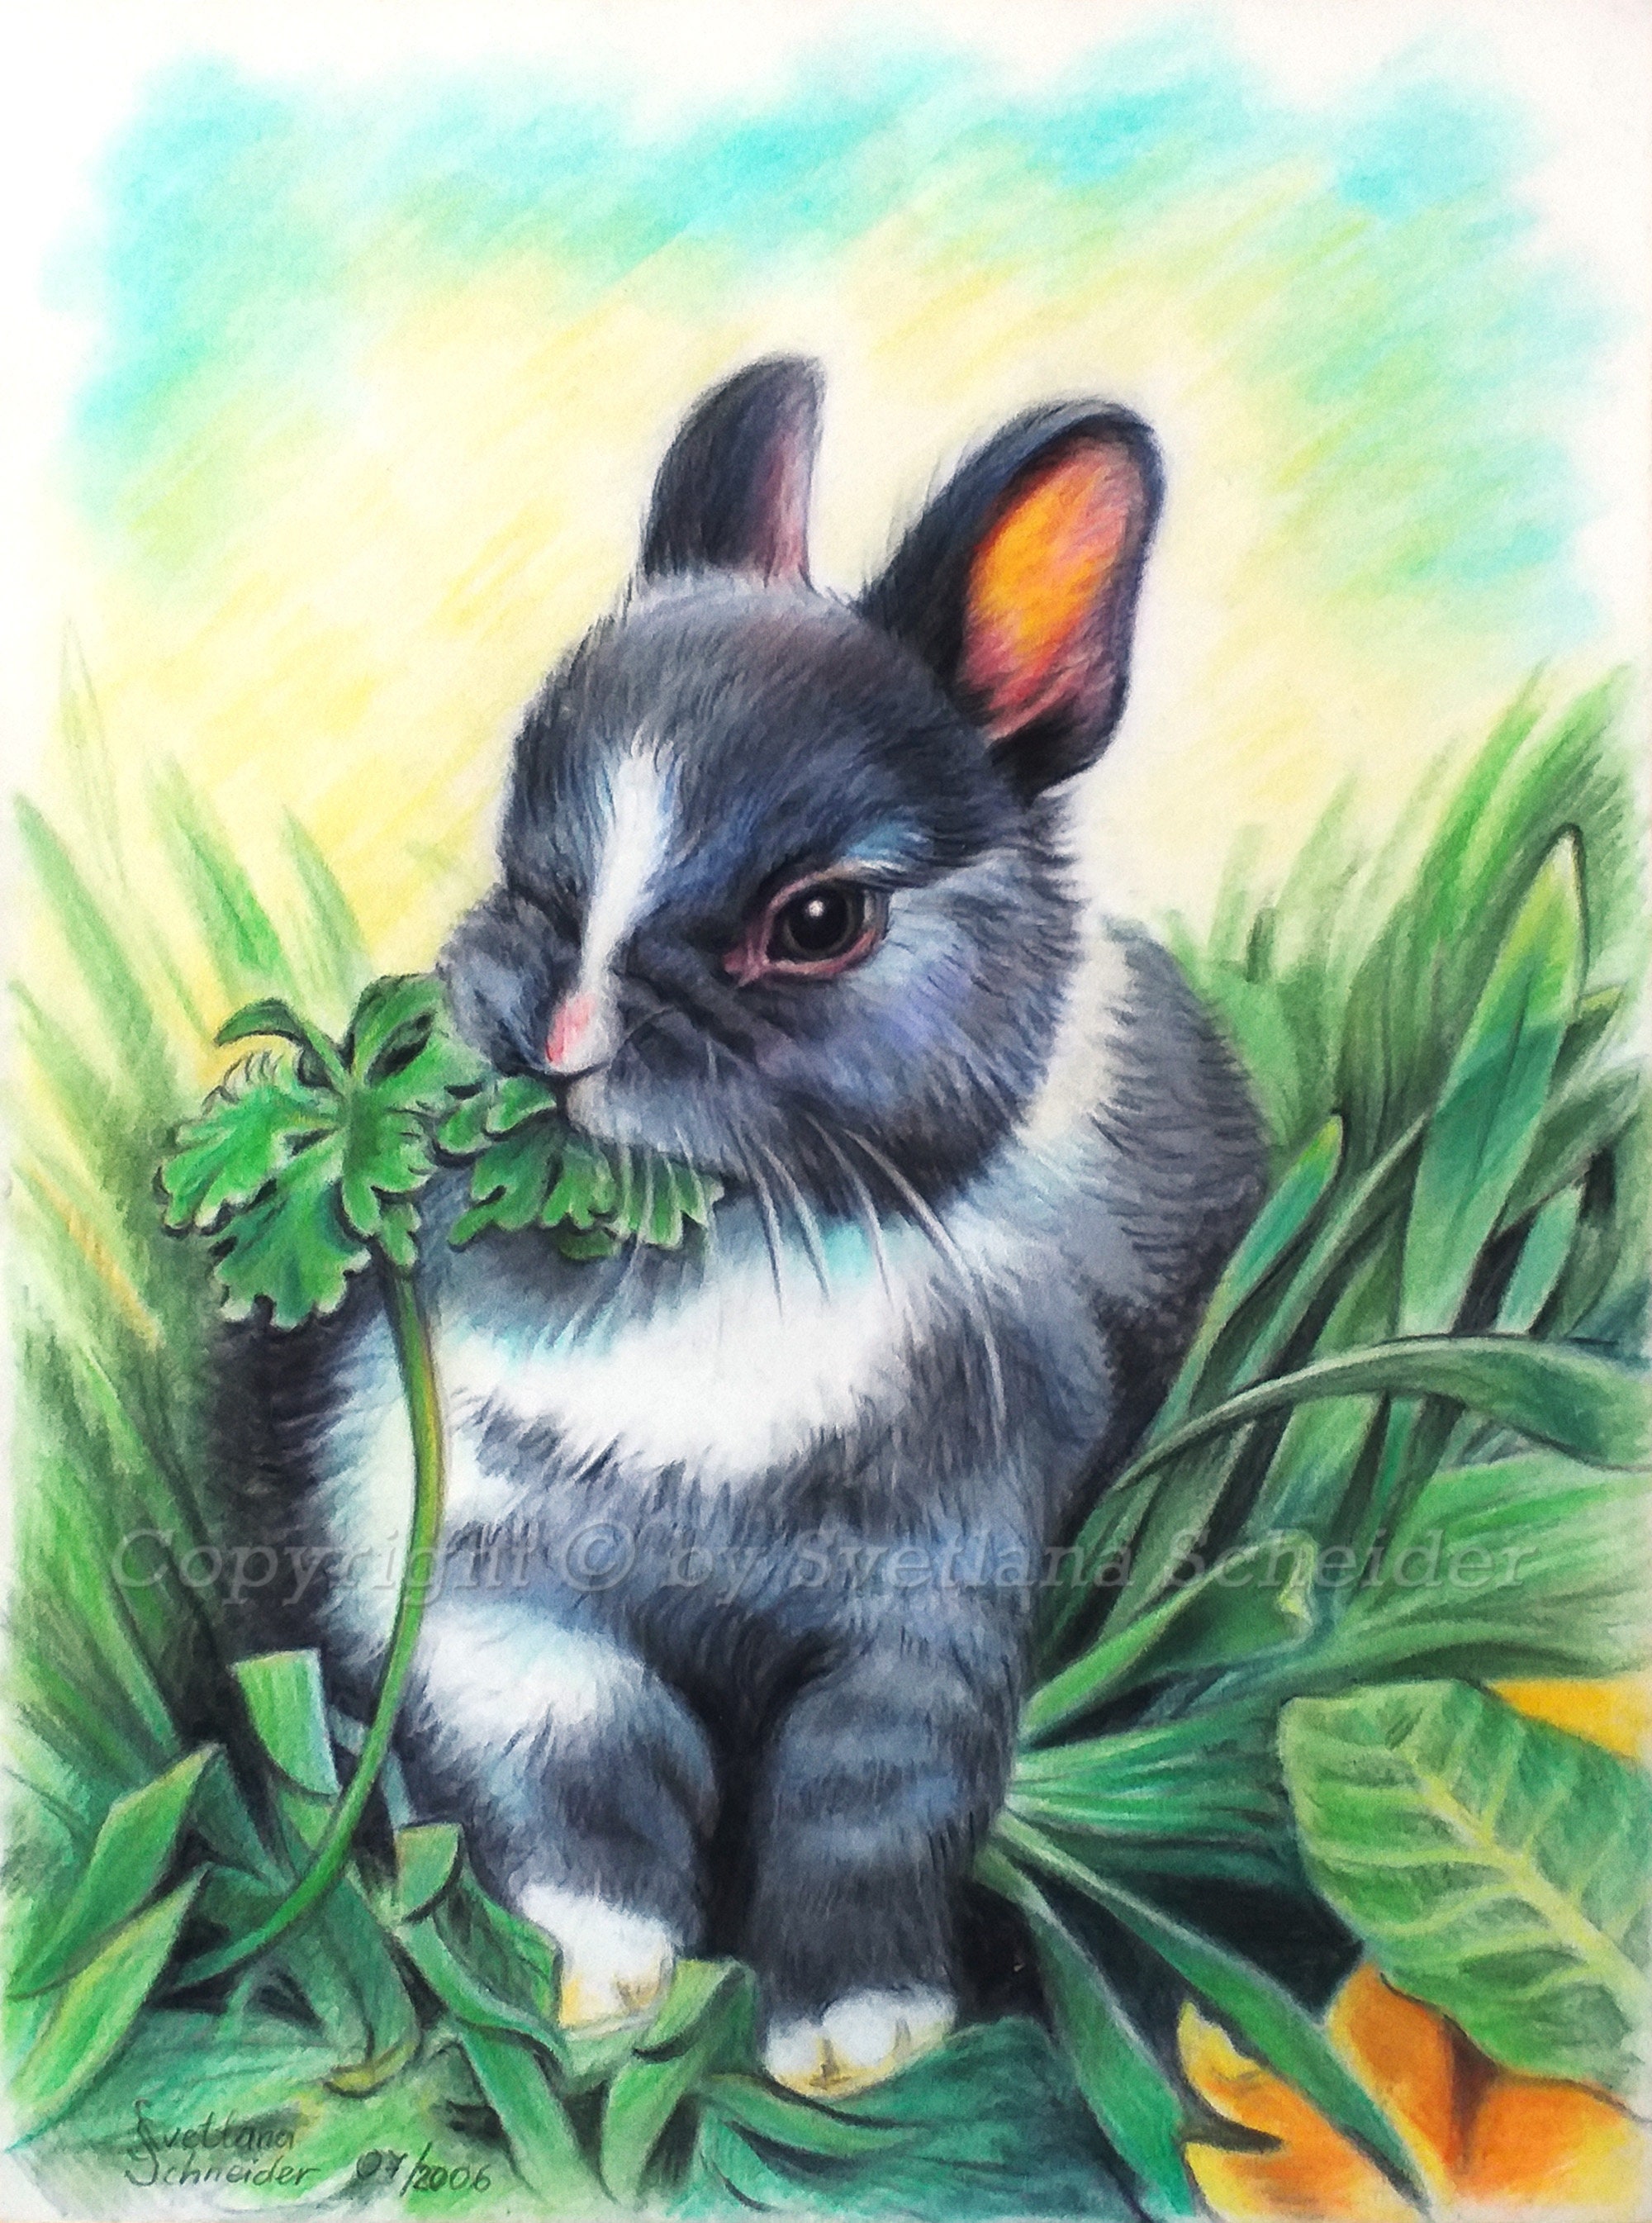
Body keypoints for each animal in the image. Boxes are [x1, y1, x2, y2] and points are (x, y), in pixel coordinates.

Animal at [233, 357, 1265, 2096]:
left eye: (822, 920)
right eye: (526, 875)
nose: (560, 1042)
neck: (708, 1267)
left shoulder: (923, 1608)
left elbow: (865, 1805)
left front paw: (853, 2040)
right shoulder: (500, 1602)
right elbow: (583, 1780)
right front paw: (597, 1995)